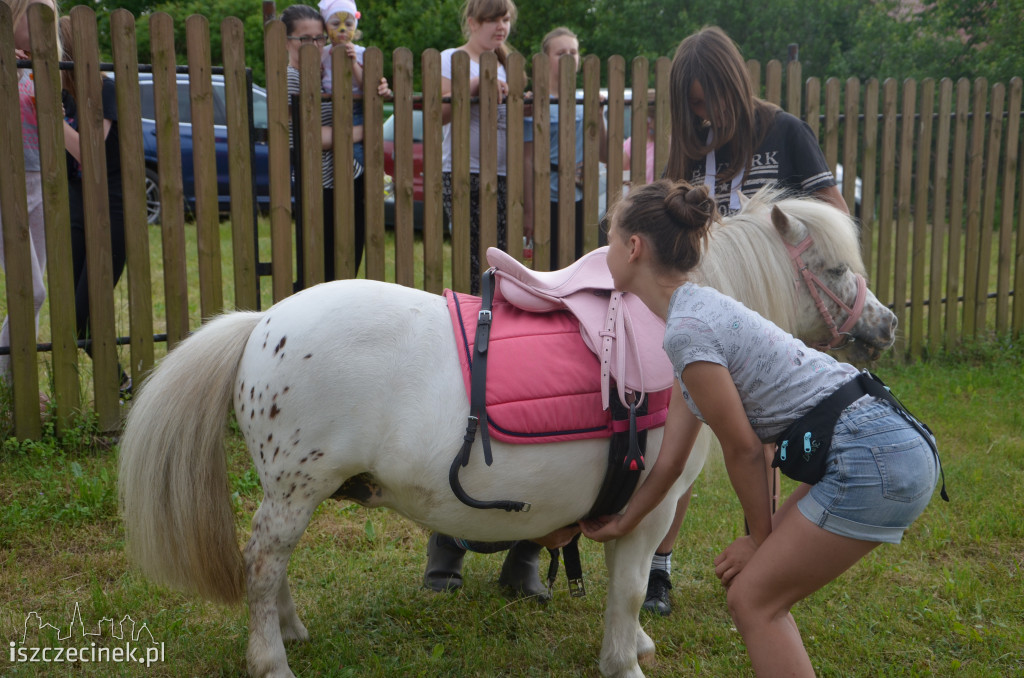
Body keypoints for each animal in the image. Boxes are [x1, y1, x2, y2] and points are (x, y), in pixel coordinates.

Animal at [117, 191, 897, 678]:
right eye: (833, 269)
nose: (886, 323)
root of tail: (262, 323)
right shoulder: (646, 509)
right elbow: (629, 586)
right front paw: (624, 659)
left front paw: (638, 642)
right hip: (295, 488)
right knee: (261, 563)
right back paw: (271, 659)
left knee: (272, 567)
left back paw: (290, 632)